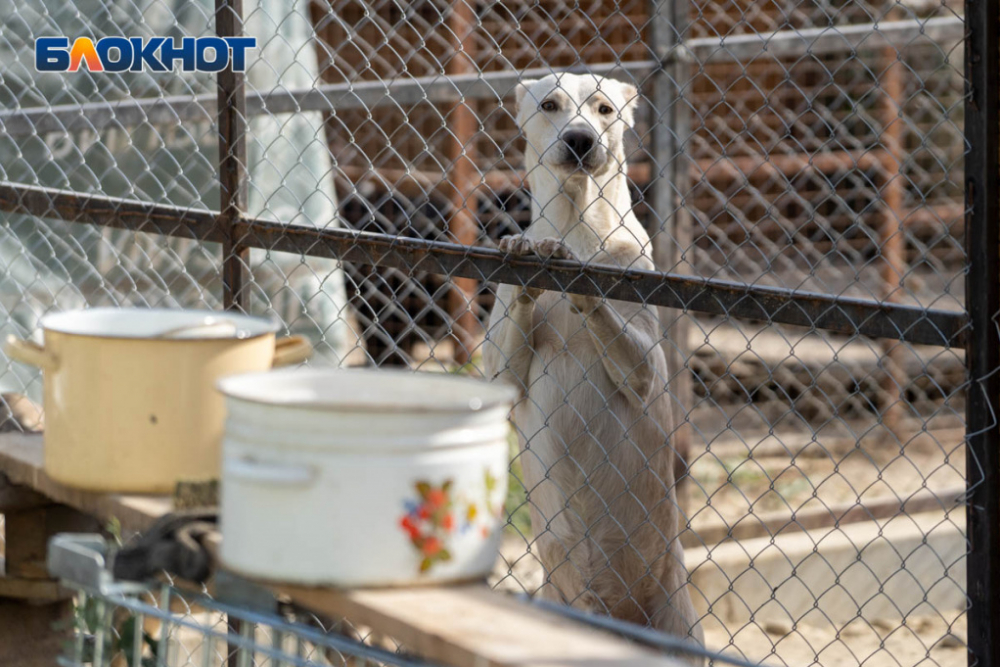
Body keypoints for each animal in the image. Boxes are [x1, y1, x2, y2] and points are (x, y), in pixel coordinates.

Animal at [482, 72, 704, 656]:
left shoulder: (643, 369)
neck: (578, 220)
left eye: (604, 109)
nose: (580, 139)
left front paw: (584, 281)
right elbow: (509, 353)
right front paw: (525, 246)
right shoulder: (503, 374)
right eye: (550, 104)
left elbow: (622, 337)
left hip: (678, 619)